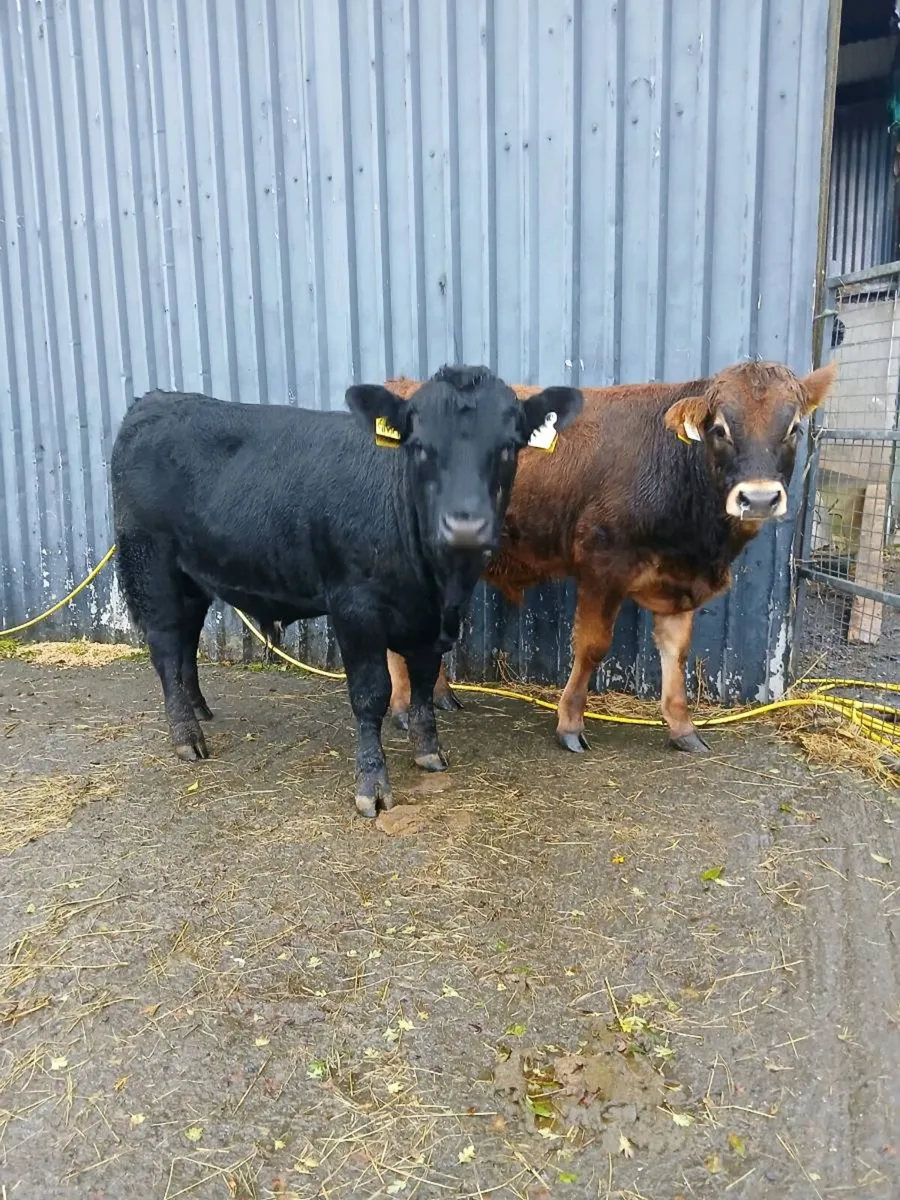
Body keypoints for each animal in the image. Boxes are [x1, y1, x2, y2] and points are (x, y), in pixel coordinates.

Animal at [110, 366, 581, 815]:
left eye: (508, 446)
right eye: (420, 446)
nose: (465, 527)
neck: (437, 584)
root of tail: (154, 400)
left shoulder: (432, 621)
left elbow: (424, 681)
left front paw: (428, 751)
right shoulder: (355, 608)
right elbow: (372, 694)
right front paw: (372, 786)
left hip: (193, 576)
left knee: (186, 640)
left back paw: (199, 710)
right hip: (150, 564)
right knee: (166, 646)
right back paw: (186, 736)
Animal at [385, 360, 836, 753]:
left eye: (794, 427)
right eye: (720, 428)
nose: (758, 498)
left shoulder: (679, 580)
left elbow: (676, 653)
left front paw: (683, 728)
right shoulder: (603, 563)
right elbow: (592, 647)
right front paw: (570, 724)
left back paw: (439, 694)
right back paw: (403, 706)